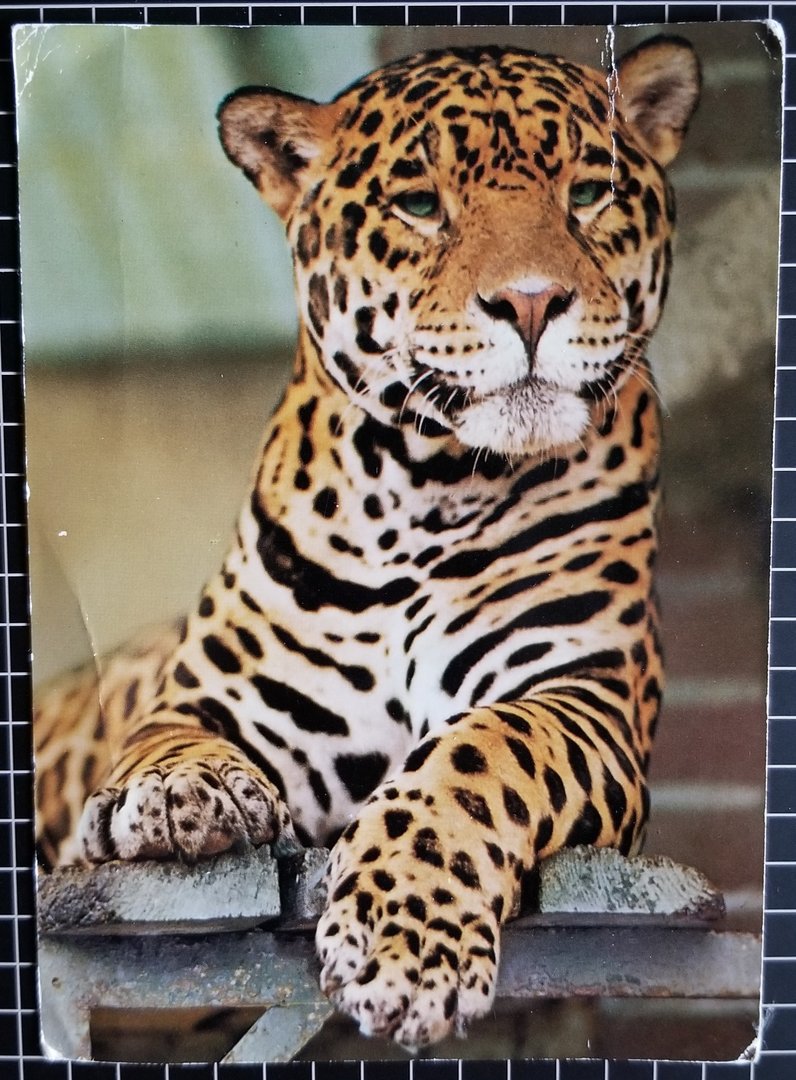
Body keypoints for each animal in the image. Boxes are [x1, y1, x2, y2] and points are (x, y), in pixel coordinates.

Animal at [33, 35, 700, 1051]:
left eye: (587, 192)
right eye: (420, 206)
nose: (532, 302)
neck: (429, 488)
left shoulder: (585, 695)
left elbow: (481, 754)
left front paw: (407, 947)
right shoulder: (214, 696)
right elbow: (166, 739)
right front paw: (186, 792)